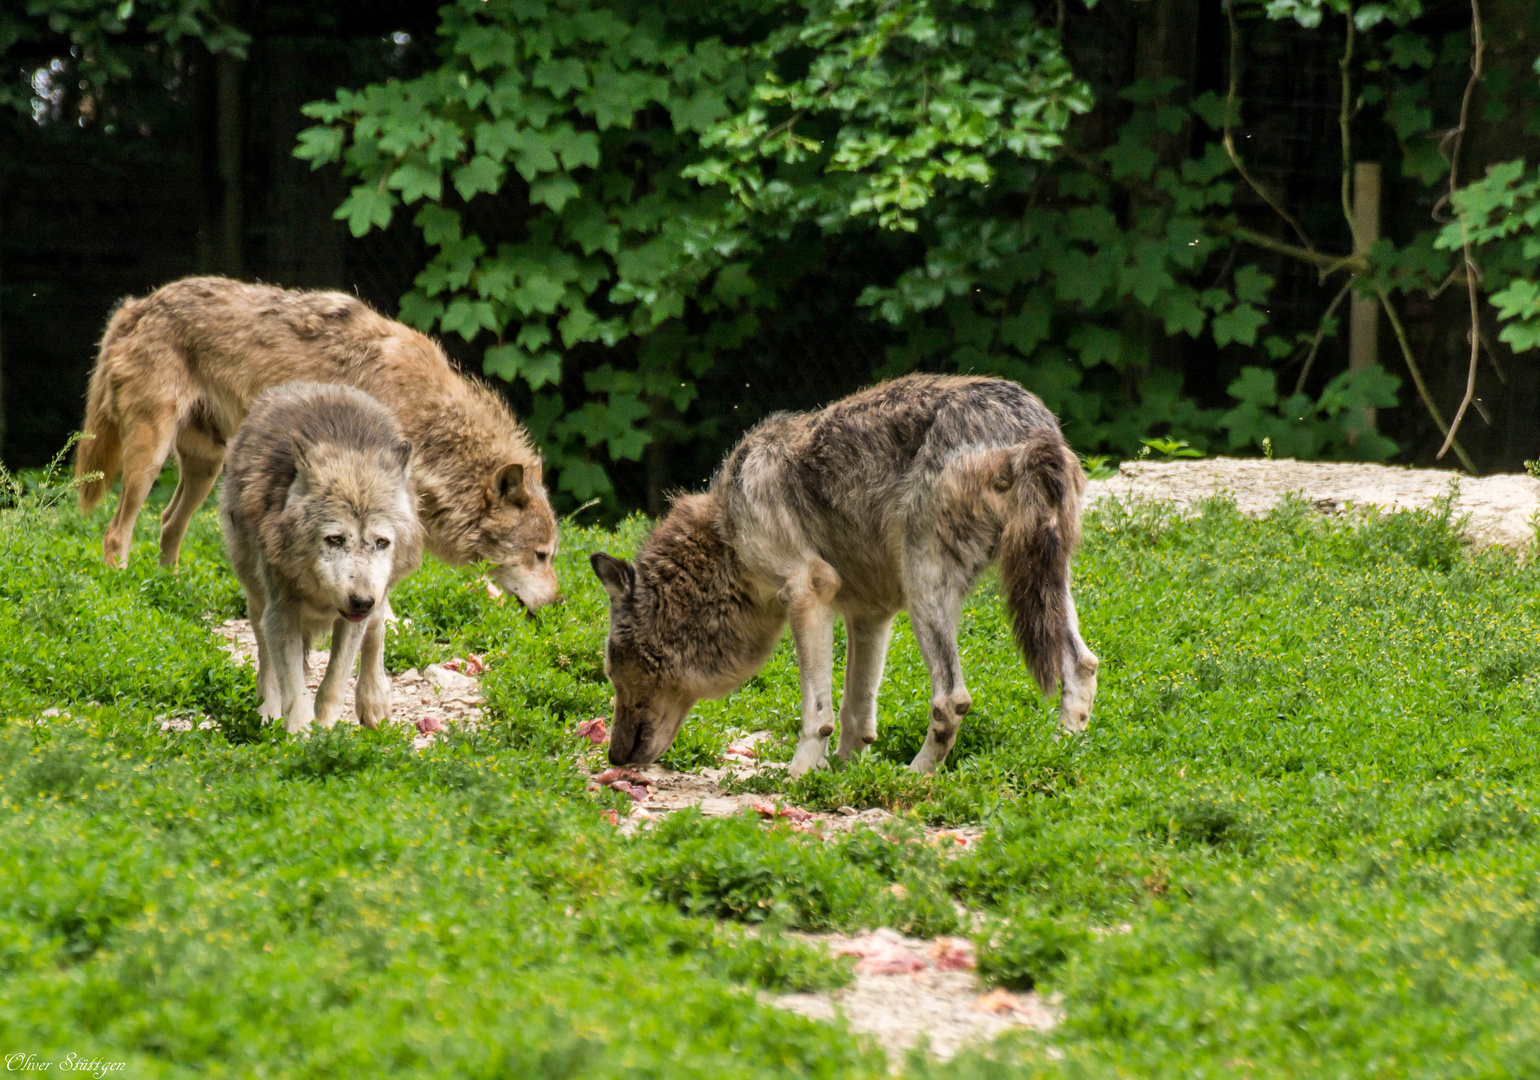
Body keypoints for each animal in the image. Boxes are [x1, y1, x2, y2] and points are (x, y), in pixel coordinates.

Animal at [76, 274, 560, 610]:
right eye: (540, 555)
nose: (559, 605)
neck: (426, 418)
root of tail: (138, 305)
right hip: (150, 459)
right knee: (116, 533)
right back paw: (125, 592)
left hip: (206, 468)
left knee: (167, 524)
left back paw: (170, 592)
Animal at [220, 380, 425, 733]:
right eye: (335, 539)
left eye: (382, 542)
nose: (361, 601)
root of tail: (321, 386)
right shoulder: (281, 612)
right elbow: (294, 688)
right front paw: (300, 735)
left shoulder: (356, 616)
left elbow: (333, 684)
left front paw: (327, 733)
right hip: (257, 597)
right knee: (265, 658)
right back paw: (266, 712)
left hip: (381, 589)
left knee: (378, 630)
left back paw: (374, 701)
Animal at [582, 374, 1102, 770]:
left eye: (616, 674)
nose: (613, 758)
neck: (726, 539)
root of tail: (1031, 429)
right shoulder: (870, 615)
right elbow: (856, 711)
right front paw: (843, 775)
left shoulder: (807, 591)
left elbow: (818, 711)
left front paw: (798, 776)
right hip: (1045, 585)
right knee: (1081, 664)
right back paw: (1060, 755)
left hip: (926, 587)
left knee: (951, 700)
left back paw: (914, 777)